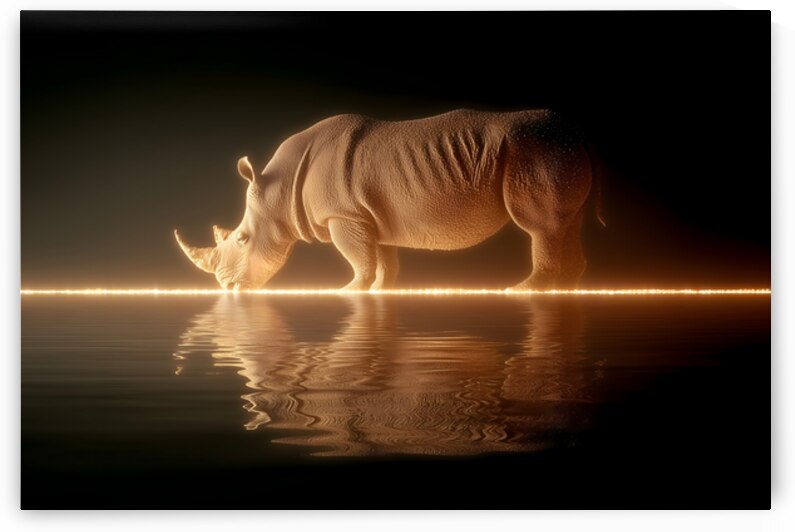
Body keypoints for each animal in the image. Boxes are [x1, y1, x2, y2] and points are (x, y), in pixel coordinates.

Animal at [175, 109, 601, 290]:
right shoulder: (367, 215)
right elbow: (381, 259)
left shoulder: (343, 215)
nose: (227, 287)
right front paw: (380, 290)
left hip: (536, 151)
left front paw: (347, 292)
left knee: (540, 228)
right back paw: (565, 290)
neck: (279, 191)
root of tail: (576, 133)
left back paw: (524, 291)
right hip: (553, 150)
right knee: (568, 223)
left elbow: (358, 258)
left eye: (243, 239)